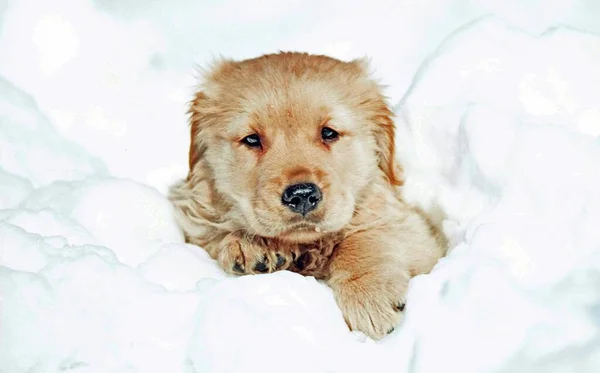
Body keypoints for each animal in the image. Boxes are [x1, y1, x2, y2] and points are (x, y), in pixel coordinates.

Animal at [168, 52, 446, 340]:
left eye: (329, 133)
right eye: (252, 139)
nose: (301, 195)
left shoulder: (412, 229)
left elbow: (365, 238)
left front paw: (370, 297)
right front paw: (252, 245)